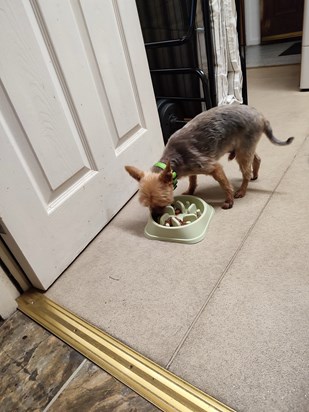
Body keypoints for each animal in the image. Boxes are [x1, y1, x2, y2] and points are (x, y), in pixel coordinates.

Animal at [124, 104, 292, 216]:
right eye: (147, 204)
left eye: (161, 202)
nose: (155, 216)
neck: (172, 160)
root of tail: (261, 117)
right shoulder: (191, 168)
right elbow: (192, 180)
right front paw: (190, 191)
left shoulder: (212, 167)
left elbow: (225, 184)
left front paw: (229, 201)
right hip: (244, 147)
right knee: (256, 158)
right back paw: (255, 174)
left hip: (243, 149)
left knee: (246, 172)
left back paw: (242, 190)